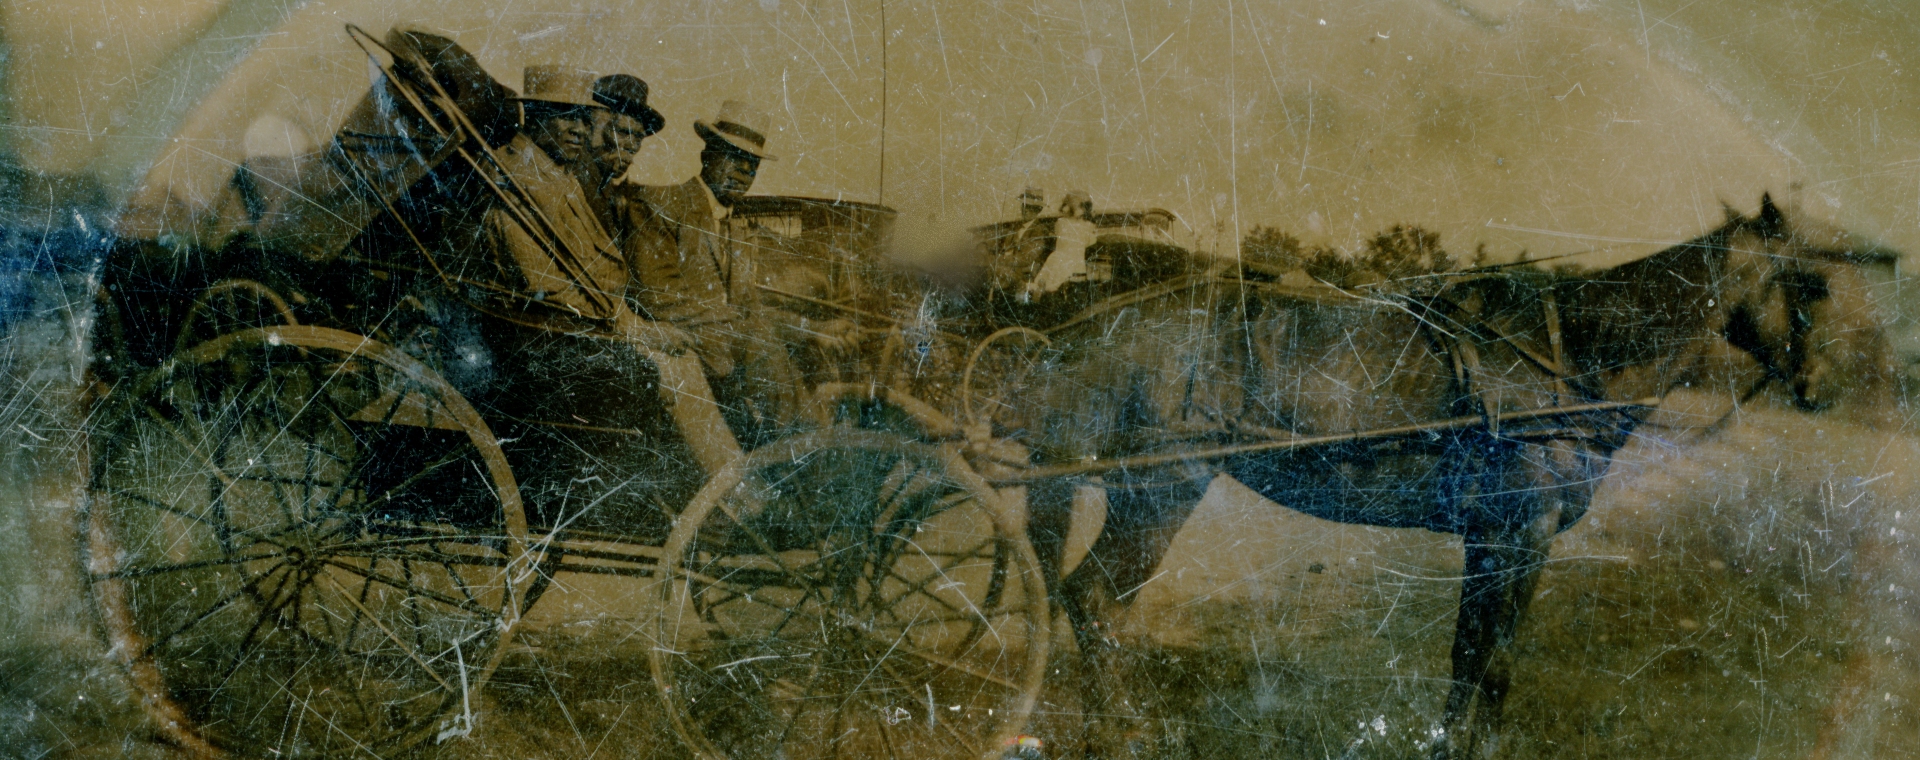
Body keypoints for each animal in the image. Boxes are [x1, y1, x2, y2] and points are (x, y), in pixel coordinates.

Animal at [1013, 197, 1896, 760]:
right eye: (1813, 282)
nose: (1826, 387)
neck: (1569, 358)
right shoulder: (1522, 536)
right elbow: (1497, 666)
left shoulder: (1488, 540)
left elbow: (1466, 657)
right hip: (1162, 488)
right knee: (1097, 601)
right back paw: (1115, 734)